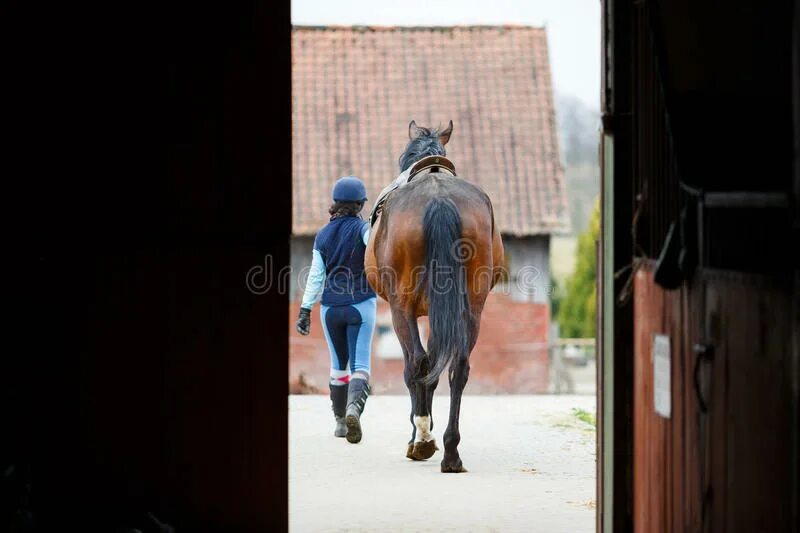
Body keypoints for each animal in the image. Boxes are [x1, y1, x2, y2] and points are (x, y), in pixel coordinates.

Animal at [366, 119, 504, 470]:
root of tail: (438, 197)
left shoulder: (409, 311)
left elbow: (419, 365)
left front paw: (417, 435)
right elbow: (436, 365)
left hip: (401, 308)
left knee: (416, 363)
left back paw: (424, 441)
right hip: (471, 309)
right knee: (459, 367)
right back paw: (451, 451)